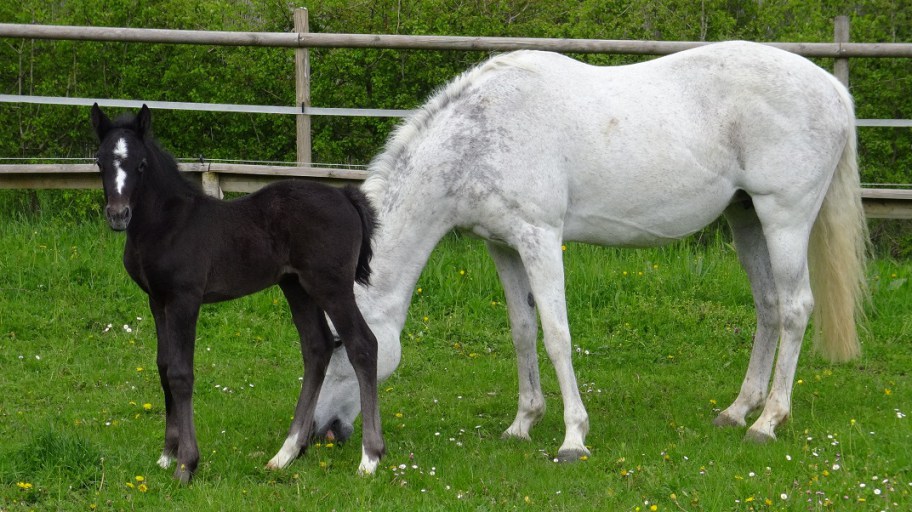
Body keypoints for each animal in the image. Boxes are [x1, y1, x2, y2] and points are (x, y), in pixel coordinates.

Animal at [90, 104, 385, 482]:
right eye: (100, 162)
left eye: (140, 164)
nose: (118, 215)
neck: (168, 224)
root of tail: (345, 196)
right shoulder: (157, 300)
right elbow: (163, 367)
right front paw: (167, 454)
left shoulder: (185, 300)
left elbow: (181, 374)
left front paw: (186, 464)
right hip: (296, 286)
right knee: (317, 347)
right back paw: (286, 453)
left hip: (330, 285)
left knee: (363, 345)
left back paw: (370, 458)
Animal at [306, 41, 868, 461]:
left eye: (339, 342)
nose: (320, 432)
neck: (479, 138)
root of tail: (834, 90)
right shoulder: (503, 246)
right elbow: (522, 331)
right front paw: (522, 424)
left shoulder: (540, 238)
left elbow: (557, 335)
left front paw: (573, 438)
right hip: (746, 217)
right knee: (769, 308)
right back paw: (737, 412)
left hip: (784, 219)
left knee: (795, 309)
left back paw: (768, 422)